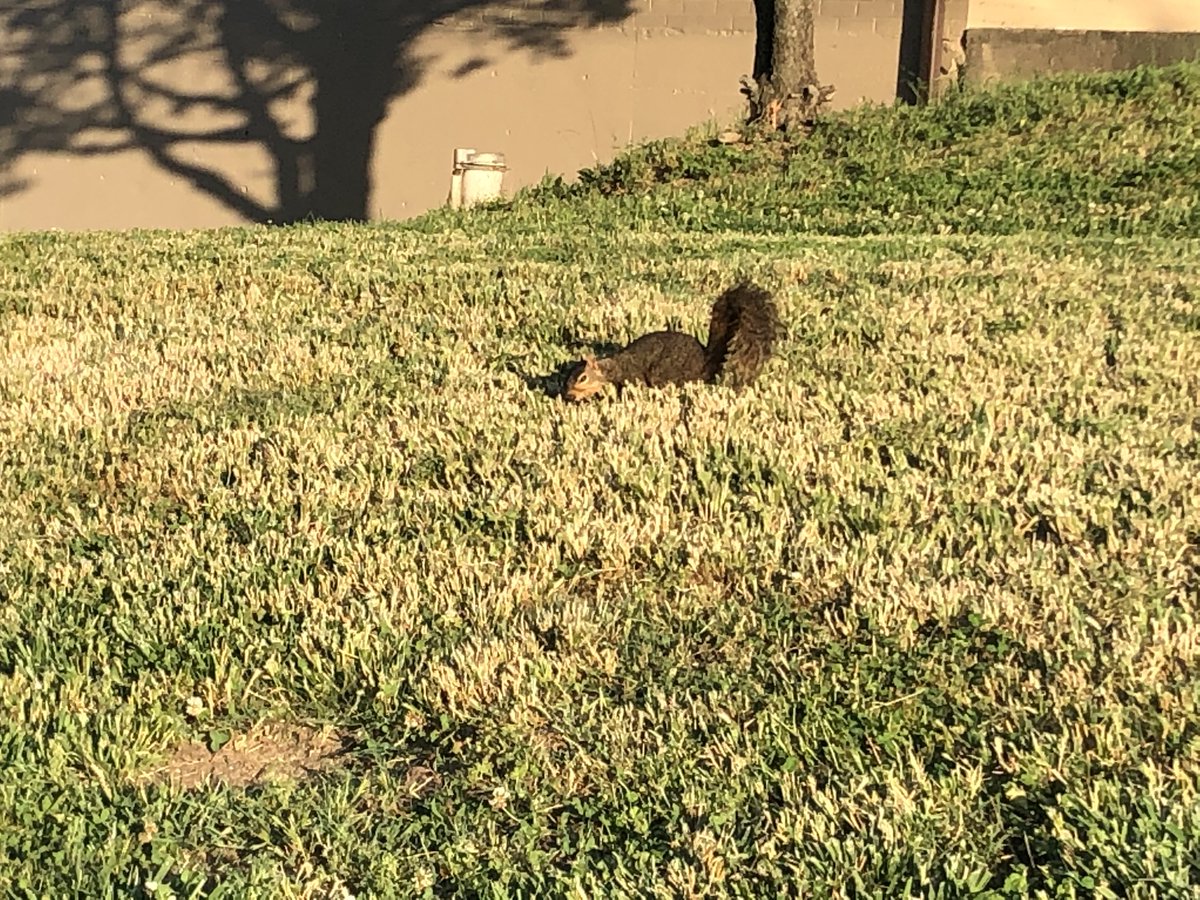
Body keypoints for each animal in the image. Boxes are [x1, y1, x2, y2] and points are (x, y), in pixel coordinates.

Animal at [562, 280, 783, 402]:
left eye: (583, 378)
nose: (568, 395)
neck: (613, 366)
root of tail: (705, 363)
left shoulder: (633, 376)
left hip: (665, 373)